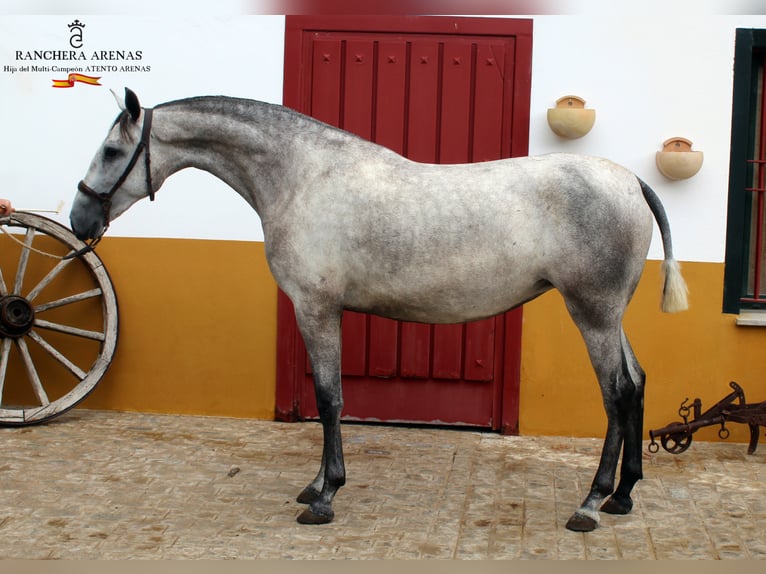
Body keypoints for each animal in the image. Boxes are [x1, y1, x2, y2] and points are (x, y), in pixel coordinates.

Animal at [70, 90, 688, 536]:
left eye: (110, 153)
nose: (80, 220)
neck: (303, 177)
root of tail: (632, 181)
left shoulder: (316, 309)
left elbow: (329, 399)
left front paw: (324, 498)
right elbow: (330, 399)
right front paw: (315, 484)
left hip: (593, 314)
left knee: (617, 394)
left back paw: (590, 503)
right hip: (609, 317)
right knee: (637, 381)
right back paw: (623, 496)